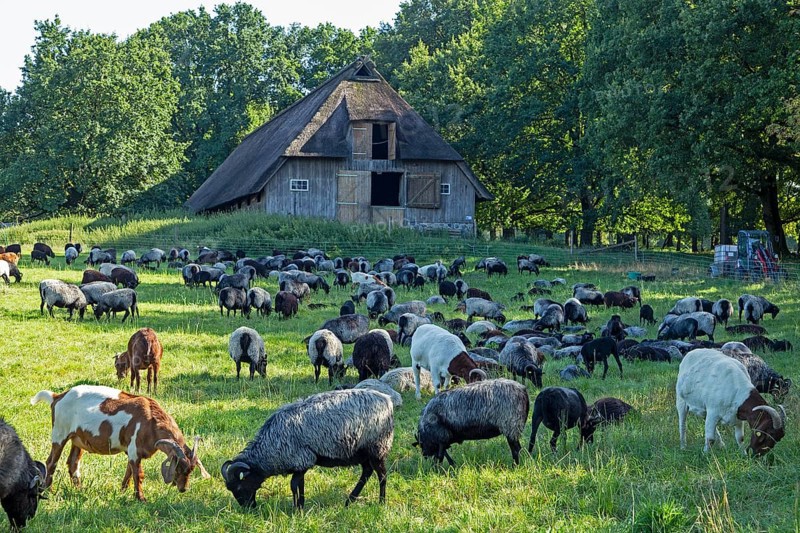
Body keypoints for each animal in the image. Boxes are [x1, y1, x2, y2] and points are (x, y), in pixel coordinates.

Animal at [32, 385, 209, 501]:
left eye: (191, 470)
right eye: (178, 468)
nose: (183, 489)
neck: (151, 420)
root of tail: (57, 397)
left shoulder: (132, 451)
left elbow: (129, 471)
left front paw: (123, 491)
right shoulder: (134, 448)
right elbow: (138, 474)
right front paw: (141, 498)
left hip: (78, 439)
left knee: (73, 463)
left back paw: (79, 490)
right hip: (60, 433)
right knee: (51, 462)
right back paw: (47, 491)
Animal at [221, 389, 393, 509]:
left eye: (238, 486)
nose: (248, 508)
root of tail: (387, 400)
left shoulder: (302, 459)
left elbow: (293, 485)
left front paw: (296, 509)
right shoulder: (301, 464)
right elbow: (300, 485)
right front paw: (301, 506)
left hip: (377, 447)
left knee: (382, 475)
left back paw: (381, 502)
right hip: (362, 452)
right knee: (366, 472)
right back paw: (349, 501)